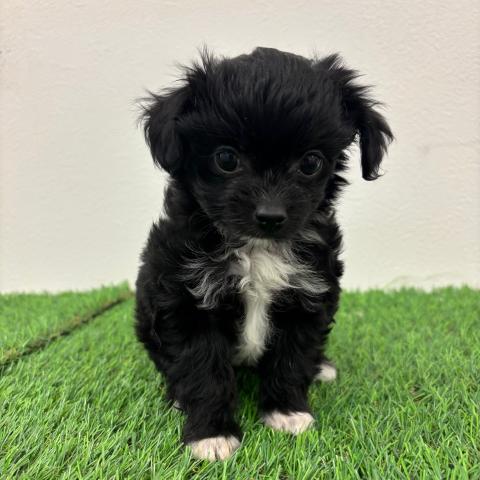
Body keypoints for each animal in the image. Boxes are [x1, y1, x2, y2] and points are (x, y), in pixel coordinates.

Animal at [135, 47, 392, 461]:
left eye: (311, 163)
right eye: (226, 159)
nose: (270, 216)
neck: (257, 247)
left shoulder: (308, 296)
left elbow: (292, 356)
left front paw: (286, 411)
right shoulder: (185, 300)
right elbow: (203, 368)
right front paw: (212, 433)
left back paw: (321, 368)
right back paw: (177, 397)